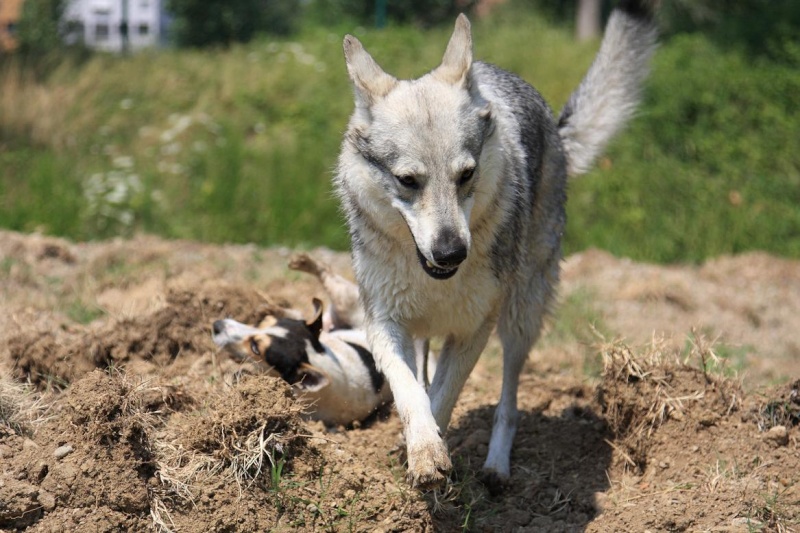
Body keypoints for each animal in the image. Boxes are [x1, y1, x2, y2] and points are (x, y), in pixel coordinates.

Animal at [334, 0, 652, 486]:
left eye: (466, 175)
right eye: (408, 181)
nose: (451, 252)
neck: (437, 282)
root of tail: (553, 125)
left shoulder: (473, 330)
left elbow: (444, 396)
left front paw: (436, 455)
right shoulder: (384, 324)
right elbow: (412, 393)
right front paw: (423, 451)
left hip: (520, 318)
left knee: (509, 403)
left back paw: (496, 468)